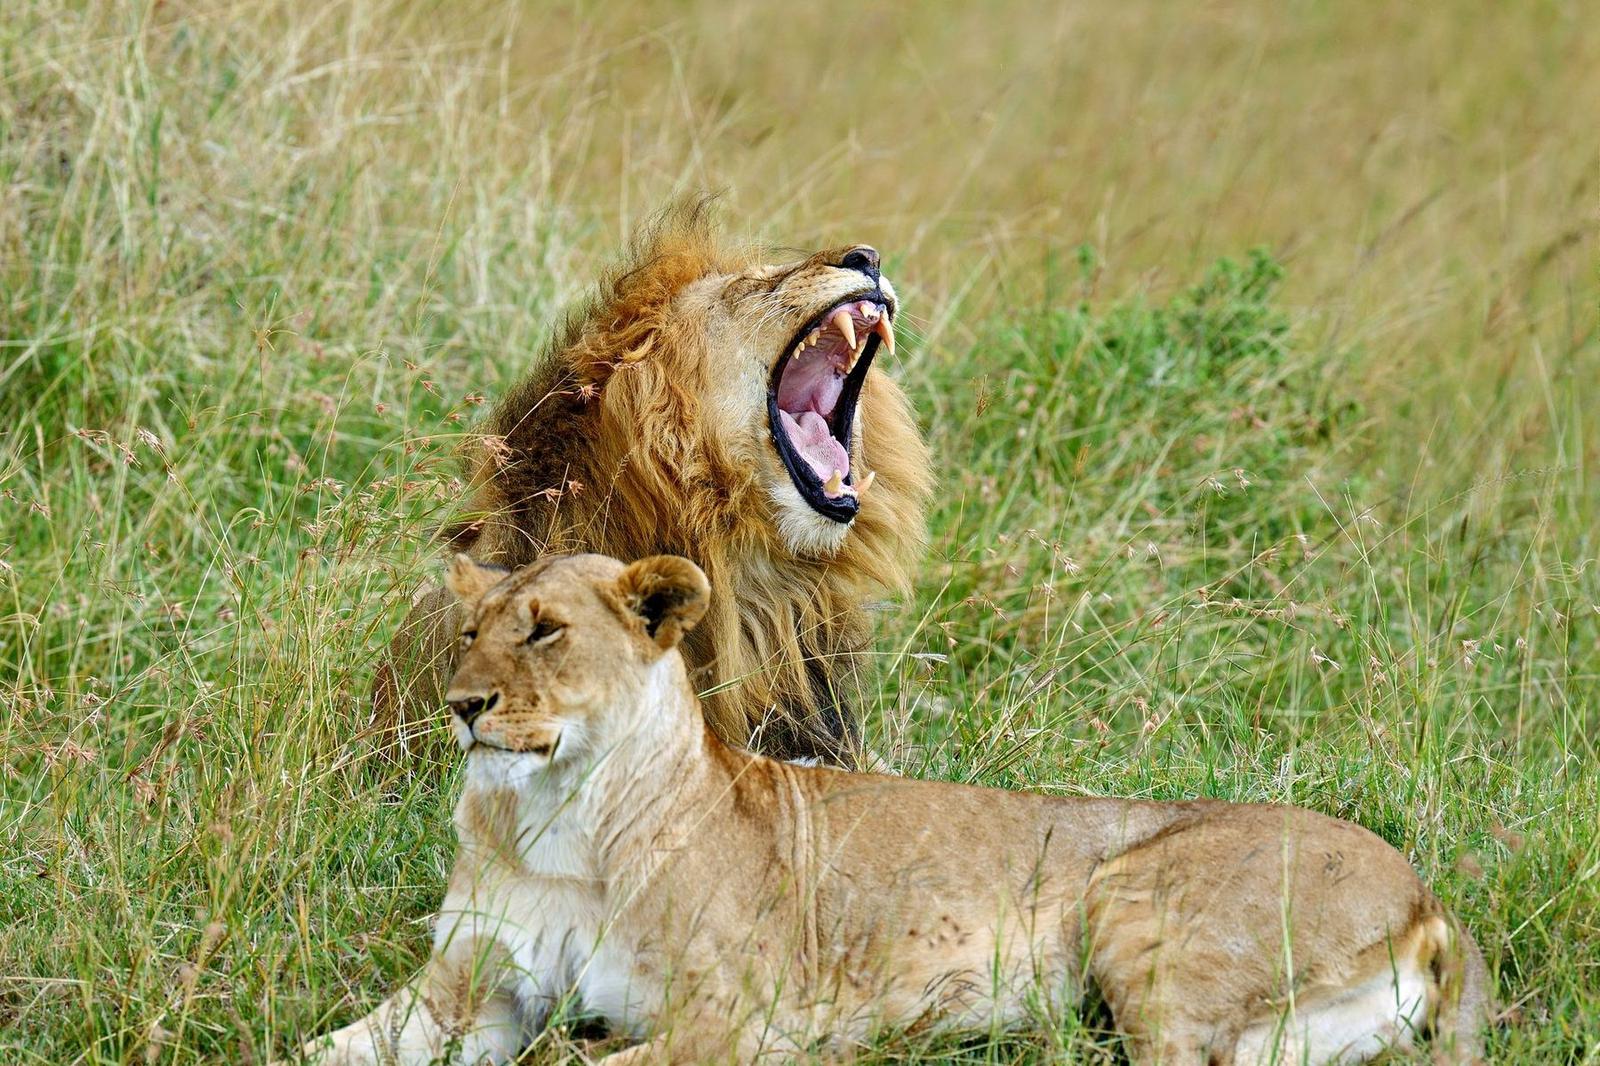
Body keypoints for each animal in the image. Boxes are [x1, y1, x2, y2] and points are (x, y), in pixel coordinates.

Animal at [299, 553, 1492, 1066]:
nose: (463, 705)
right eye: (469, 631)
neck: (555, 819)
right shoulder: (463, 996)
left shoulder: (734, 1022)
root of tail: (1427, 894)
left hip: (1135, 902)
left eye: (544, 630)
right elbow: (327, 1050)